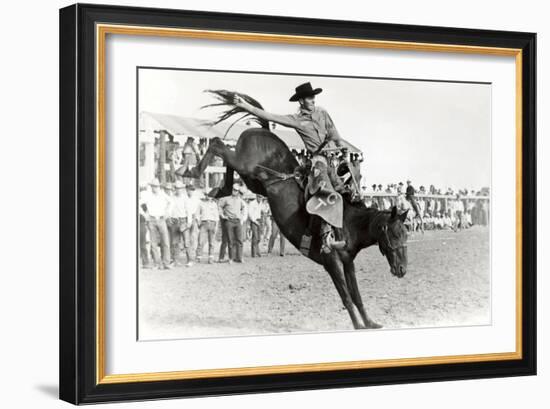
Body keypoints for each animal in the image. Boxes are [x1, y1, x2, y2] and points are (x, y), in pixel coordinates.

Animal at [181, 90, 410, 328]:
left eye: (406, 234)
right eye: (394, 234)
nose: (402, 269)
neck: (348, 223)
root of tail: (262, 129)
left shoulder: (348, 263)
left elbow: (356, 295)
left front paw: (370, 323)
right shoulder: (332, 262)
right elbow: (347, 298)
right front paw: (358, 326)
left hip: (252, 179)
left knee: (226, 162)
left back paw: (219, 189)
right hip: (245, 164)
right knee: (218, 144)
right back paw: (191, 171)